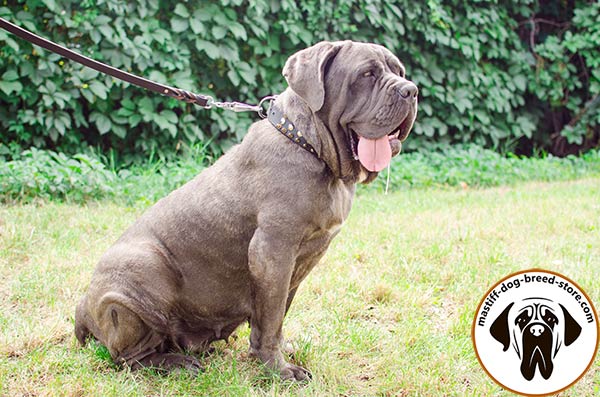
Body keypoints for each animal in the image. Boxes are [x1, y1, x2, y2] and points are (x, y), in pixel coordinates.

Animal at [76, 39, 418, 378]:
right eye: (367, 74)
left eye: (400, 72)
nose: (411, 90)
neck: (310, 146)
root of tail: (83, 306)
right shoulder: (273, 252)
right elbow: (271, 316)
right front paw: (278, 370)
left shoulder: (298, 262)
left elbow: (278, 314)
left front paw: (281, 351)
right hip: (140, 273)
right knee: (128, 357)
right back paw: (176, 364)